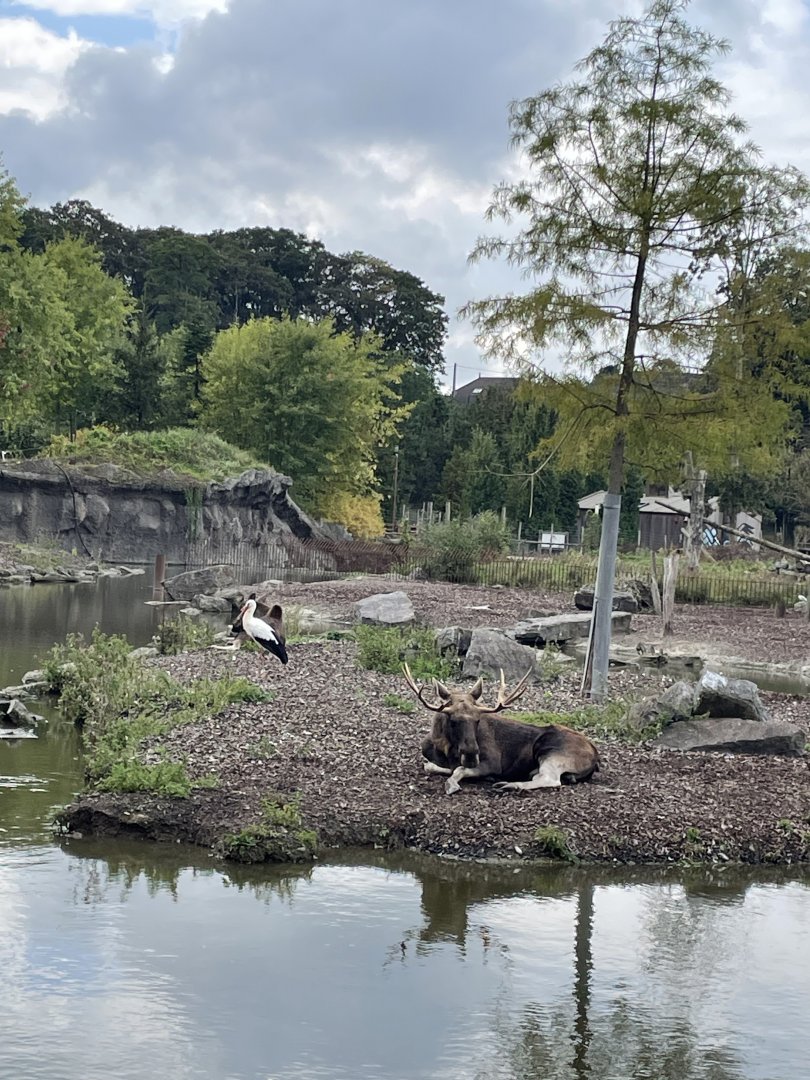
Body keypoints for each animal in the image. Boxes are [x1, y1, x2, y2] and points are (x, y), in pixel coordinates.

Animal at [403, 664, 600, 796]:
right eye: (453, 720)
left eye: (478, 720)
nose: (471, 754)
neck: (443, 747)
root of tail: (595, 756)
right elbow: (434, 766)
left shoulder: (493, 763)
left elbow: (458, 770)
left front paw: (452, 784)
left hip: (551, 752)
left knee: (549, 779)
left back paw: (510, 785)